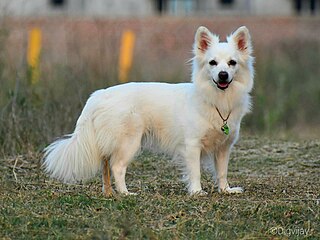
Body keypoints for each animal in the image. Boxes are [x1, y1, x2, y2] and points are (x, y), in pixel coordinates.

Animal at [42, 25, 254, 195]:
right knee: (117, 167)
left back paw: (109, 193)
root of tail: (99, 95)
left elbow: (222, 171)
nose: (223, 75)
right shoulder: (192, 146)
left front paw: (226, 190)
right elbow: (195, 171)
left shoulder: (224, 148)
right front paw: (196, 192)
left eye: (232, 63)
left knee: (105, 167)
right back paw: (125, 193)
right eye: (212, 63)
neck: (217, 100)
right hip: (129, 142)